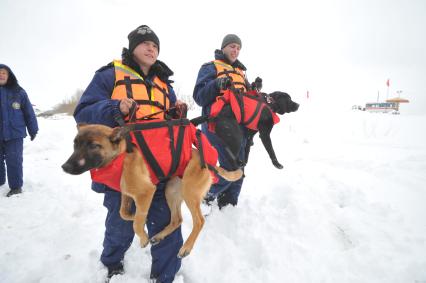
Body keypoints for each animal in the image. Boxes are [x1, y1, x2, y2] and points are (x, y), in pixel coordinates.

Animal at [62, 123, 243, 258]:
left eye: (93, 145)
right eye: (75, 144)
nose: (65, 167)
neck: (120, 157)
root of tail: (209, 163)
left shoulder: (145, 192)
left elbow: (136, 223)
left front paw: (142, 238)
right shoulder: (126, 194)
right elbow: (124, 213)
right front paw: (138, 218)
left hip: (189, 193)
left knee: (199, 221)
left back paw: (186, 247)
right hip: (171, 191)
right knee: (177, 219)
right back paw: (160, 235)